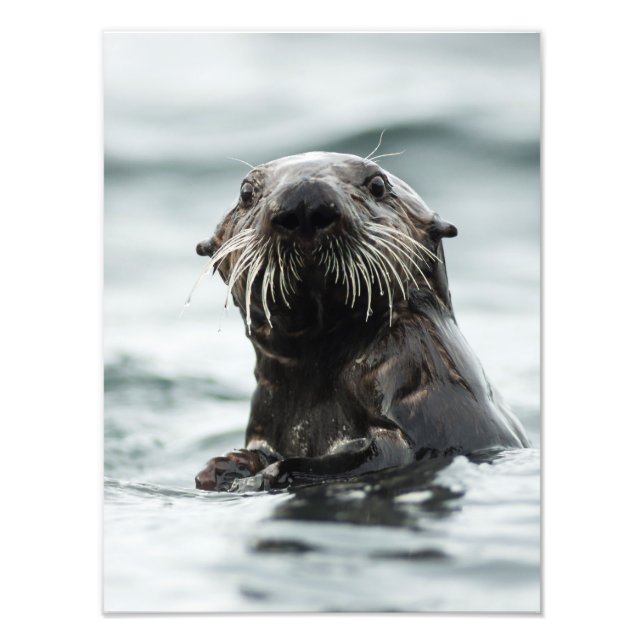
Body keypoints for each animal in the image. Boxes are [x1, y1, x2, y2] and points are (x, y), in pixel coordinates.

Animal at [192, 152, 529, 492]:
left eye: (377, 185)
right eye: (246, 192)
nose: (304, 201)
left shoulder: (419, 377)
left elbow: (383, 453)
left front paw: (265, 474)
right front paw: (225, 466)